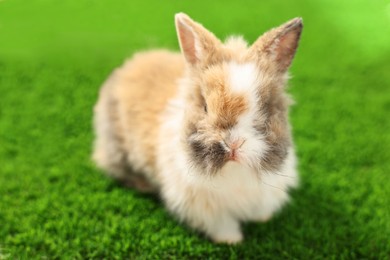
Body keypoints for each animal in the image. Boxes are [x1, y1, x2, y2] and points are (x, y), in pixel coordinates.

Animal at [93, 12, 304, 244]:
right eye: (205, 107)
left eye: (265, 108)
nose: (233, 144)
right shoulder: (204, 206)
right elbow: (222, 224)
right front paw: (232, 240)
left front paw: (262, 219)